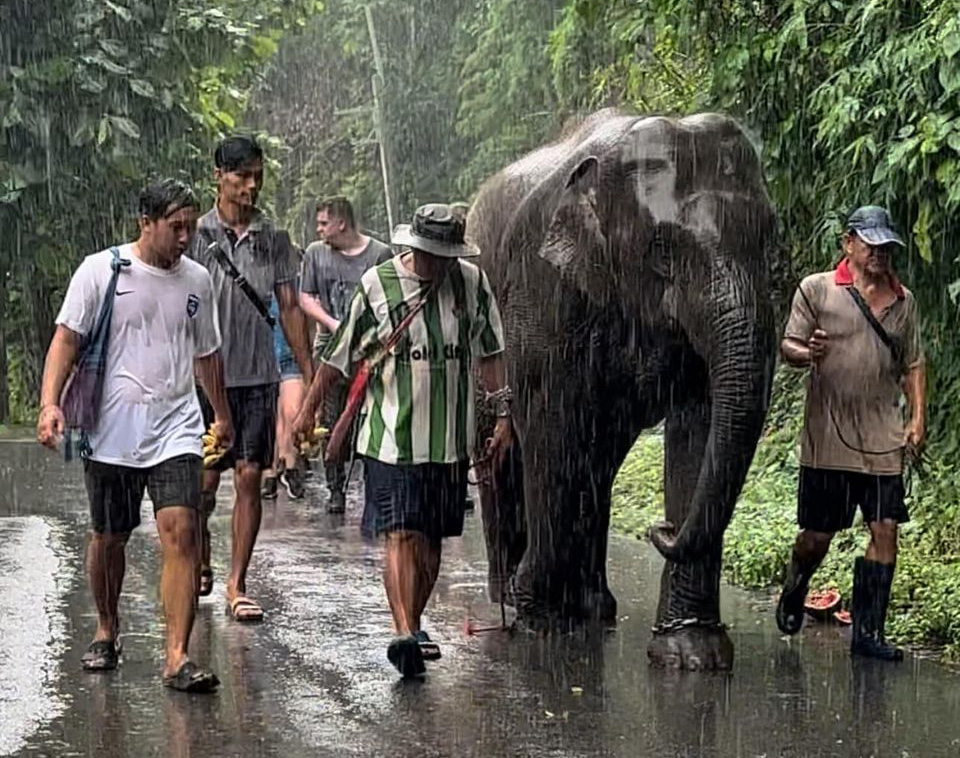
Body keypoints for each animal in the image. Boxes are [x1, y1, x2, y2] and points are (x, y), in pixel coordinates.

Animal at [470, 108, 780, 672]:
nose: (662, 530)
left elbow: (699, 425)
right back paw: (512, 597)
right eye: (661, 249)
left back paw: (594, 606)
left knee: (599, 462)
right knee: (507, 452)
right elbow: (551, 420)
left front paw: (691, 654)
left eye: (769, 237)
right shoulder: (540, 286)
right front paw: (543, 621)